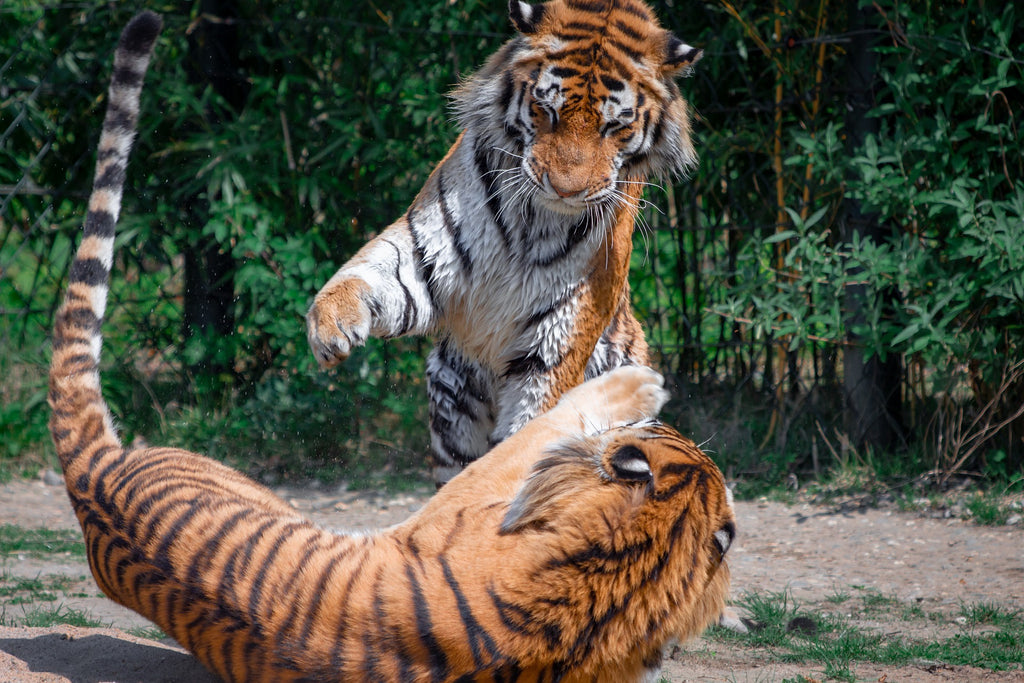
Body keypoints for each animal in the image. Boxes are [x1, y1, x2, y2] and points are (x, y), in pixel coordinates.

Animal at [305, 2, 704, 489]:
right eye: (547, 110)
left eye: (615, 126)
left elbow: (532, 428)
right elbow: (376, 272)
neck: (537, 219)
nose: (566, 189)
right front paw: (330, 325)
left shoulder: (560, 329)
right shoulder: (428, 254)